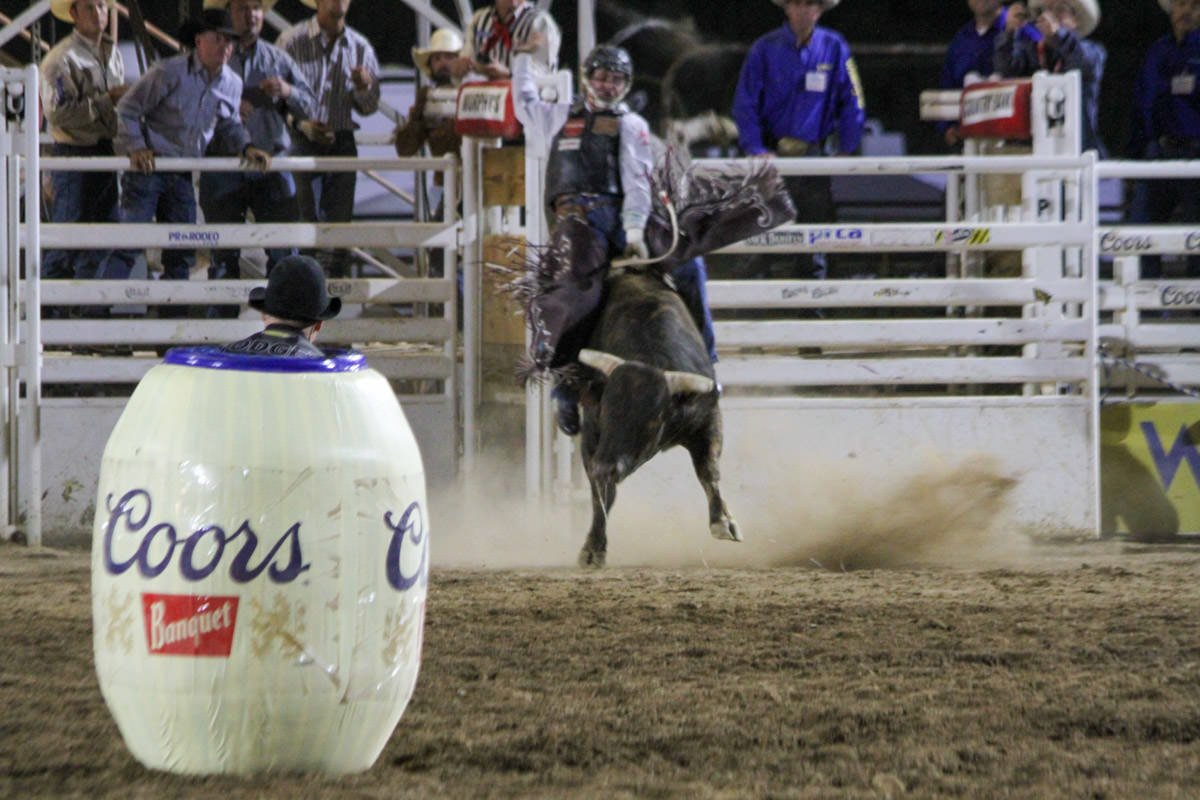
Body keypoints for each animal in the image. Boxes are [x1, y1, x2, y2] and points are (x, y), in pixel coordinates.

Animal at [508, 159, 796, 566]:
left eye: (650, 417)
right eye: (610, 409)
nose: (606, 465)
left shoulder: (707, 416)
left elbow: (709, 470)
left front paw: (724, 522)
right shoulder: (593, 433)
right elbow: (601, 494)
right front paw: (593, 548)